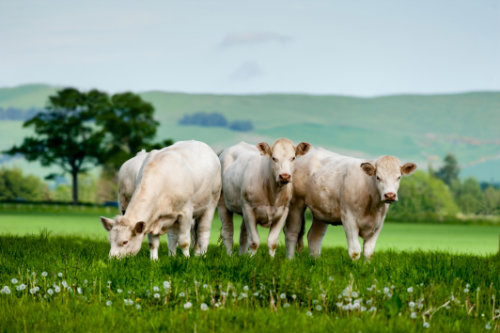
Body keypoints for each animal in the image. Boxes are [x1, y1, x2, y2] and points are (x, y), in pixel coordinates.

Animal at [284, 147, 416, 260]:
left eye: (398, 177)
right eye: (378, 177)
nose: (390, 195)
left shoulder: (379, 223)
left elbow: (368, 252)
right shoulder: (349, 218)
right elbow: (355, 251)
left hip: (321, 211)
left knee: (314, 237)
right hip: (296, 203)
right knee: (292, 232)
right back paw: (290, 260)